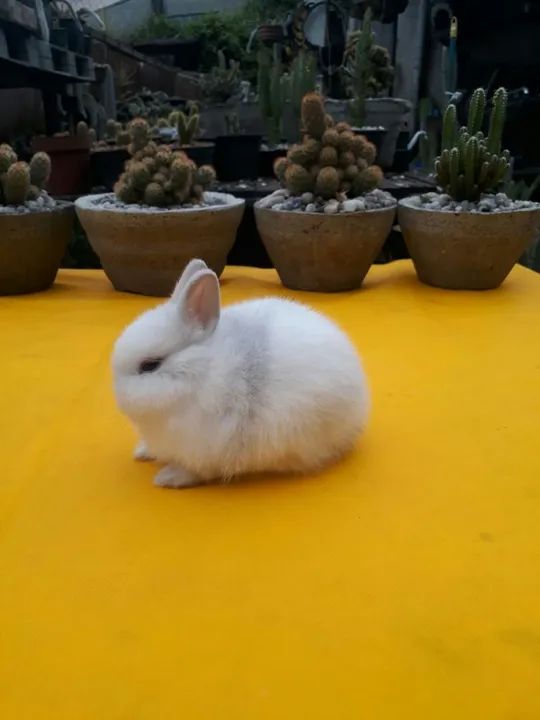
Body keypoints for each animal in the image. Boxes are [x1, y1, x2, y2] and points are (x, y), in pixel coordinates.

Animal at [112, 259, 369, 489]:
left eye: (150, 365)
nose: (117, 393)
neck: (201, 372)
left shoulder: (209, 445)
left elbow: (197, 471)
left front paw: (167, 478)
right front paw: (143, 452)